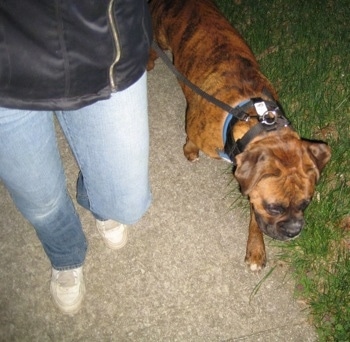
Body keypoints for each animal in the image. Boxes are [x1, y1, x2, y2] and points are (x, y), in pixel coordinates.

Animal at [147, 0, 330, 270]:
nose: (294, 231)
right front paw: (190, 149)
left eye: (305, 204)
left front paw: (256, 248)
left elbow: (254, 218)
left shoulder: (253, 187)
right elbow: (190, 136)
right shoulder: (196, 127)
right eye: (274, 208)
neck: (256, 121)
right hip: (159, 33)